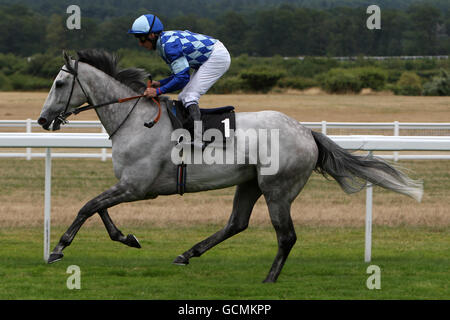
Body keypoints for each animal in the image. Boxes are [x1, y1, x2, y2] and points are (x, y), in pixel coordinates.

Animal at [37, 50, 422, 282]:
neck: (134, 119)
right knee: (237, 223)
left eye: (59, 82)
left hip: (277, 188)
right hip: (249, 183)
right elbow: (98, 208)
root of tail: (307, 133)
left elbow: (88, 206)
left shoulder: (138, 187)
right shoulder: (130, 185)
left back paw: (269, 278)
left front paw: (58, 249)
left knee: (286, 236)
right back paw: (187, 254)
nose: (42, 120)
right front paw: (127, 238)